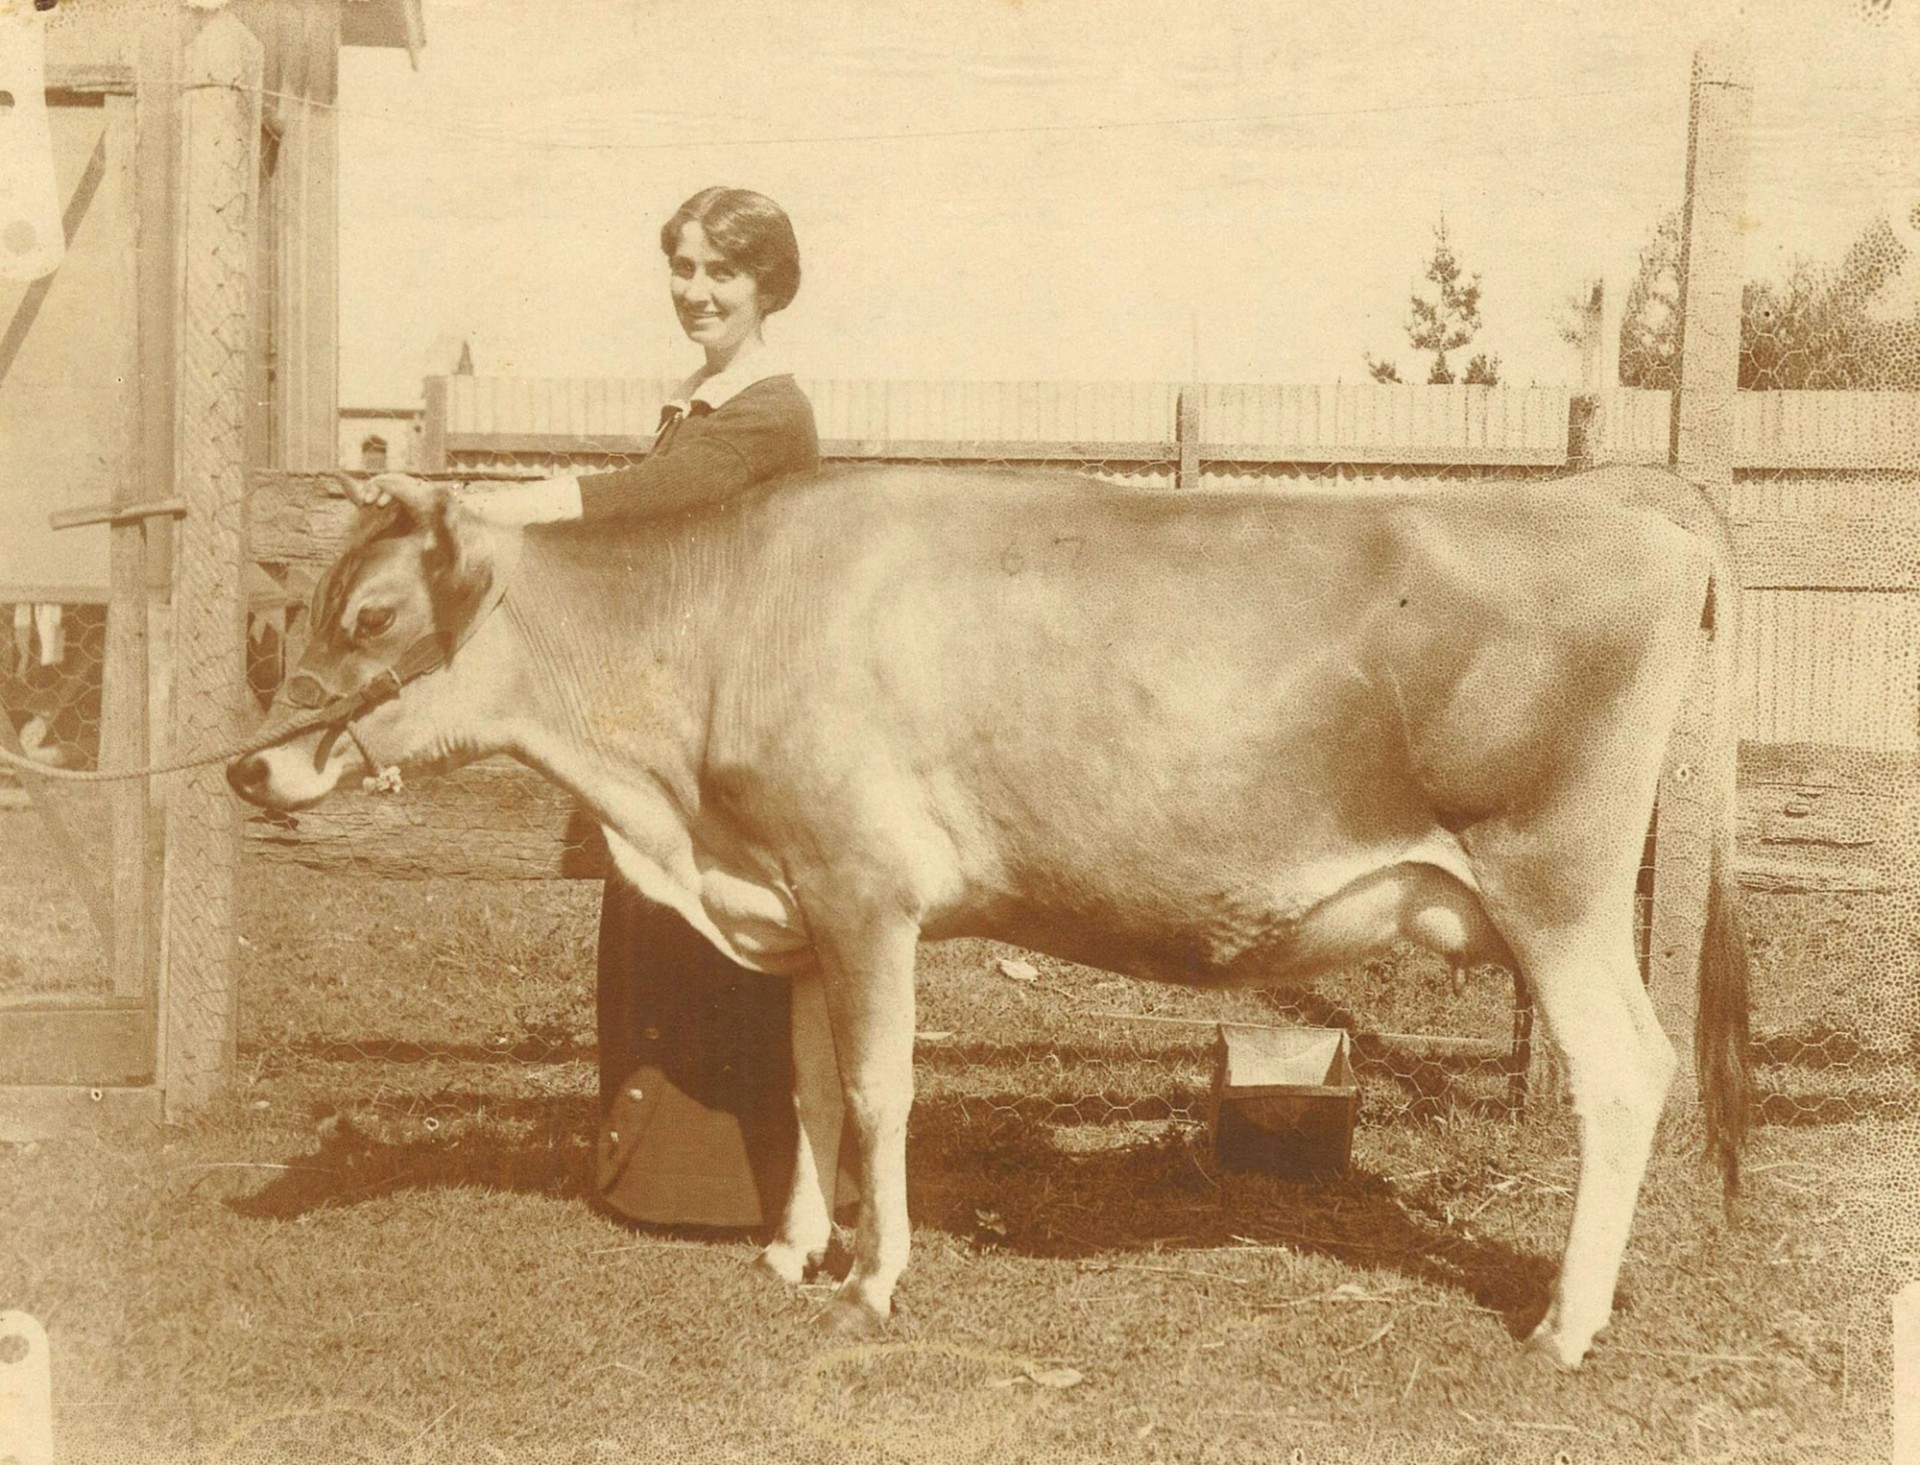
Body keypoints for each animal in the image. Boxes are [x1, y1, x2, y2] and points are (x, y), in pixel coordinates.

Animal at [227, 462, 1750, 1370]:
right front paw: (793, 1247)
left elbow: (878, 1088)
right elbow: (804, 1083)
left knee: (1628, 1070)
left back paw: (1564, 1322)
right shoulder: (801, 895)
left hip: (1558, 885)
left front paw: (876, 1278)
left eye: (370, 616)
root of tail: (1634, 501)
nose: (247, 768)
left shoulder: (868, 891)